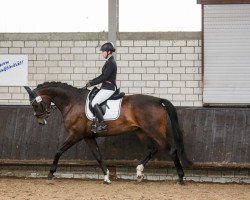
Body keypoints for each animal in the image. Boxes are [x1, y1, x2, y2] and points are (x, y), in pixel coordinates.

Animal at [23, 81, 191, 184]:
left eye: (34, 104)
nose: (40, 122)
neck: (72, 102)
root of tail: (158, 100)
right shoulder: (88, 136)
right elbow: (98, 156)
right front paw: (107, 177)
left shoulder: (75, 135)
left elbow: (58, 151)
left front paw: (50, 174)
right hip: (141, 132)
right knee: (152, 149)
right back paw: (138, 173)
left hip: (154, 131)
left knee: (171, 150)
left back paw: (181, 178)